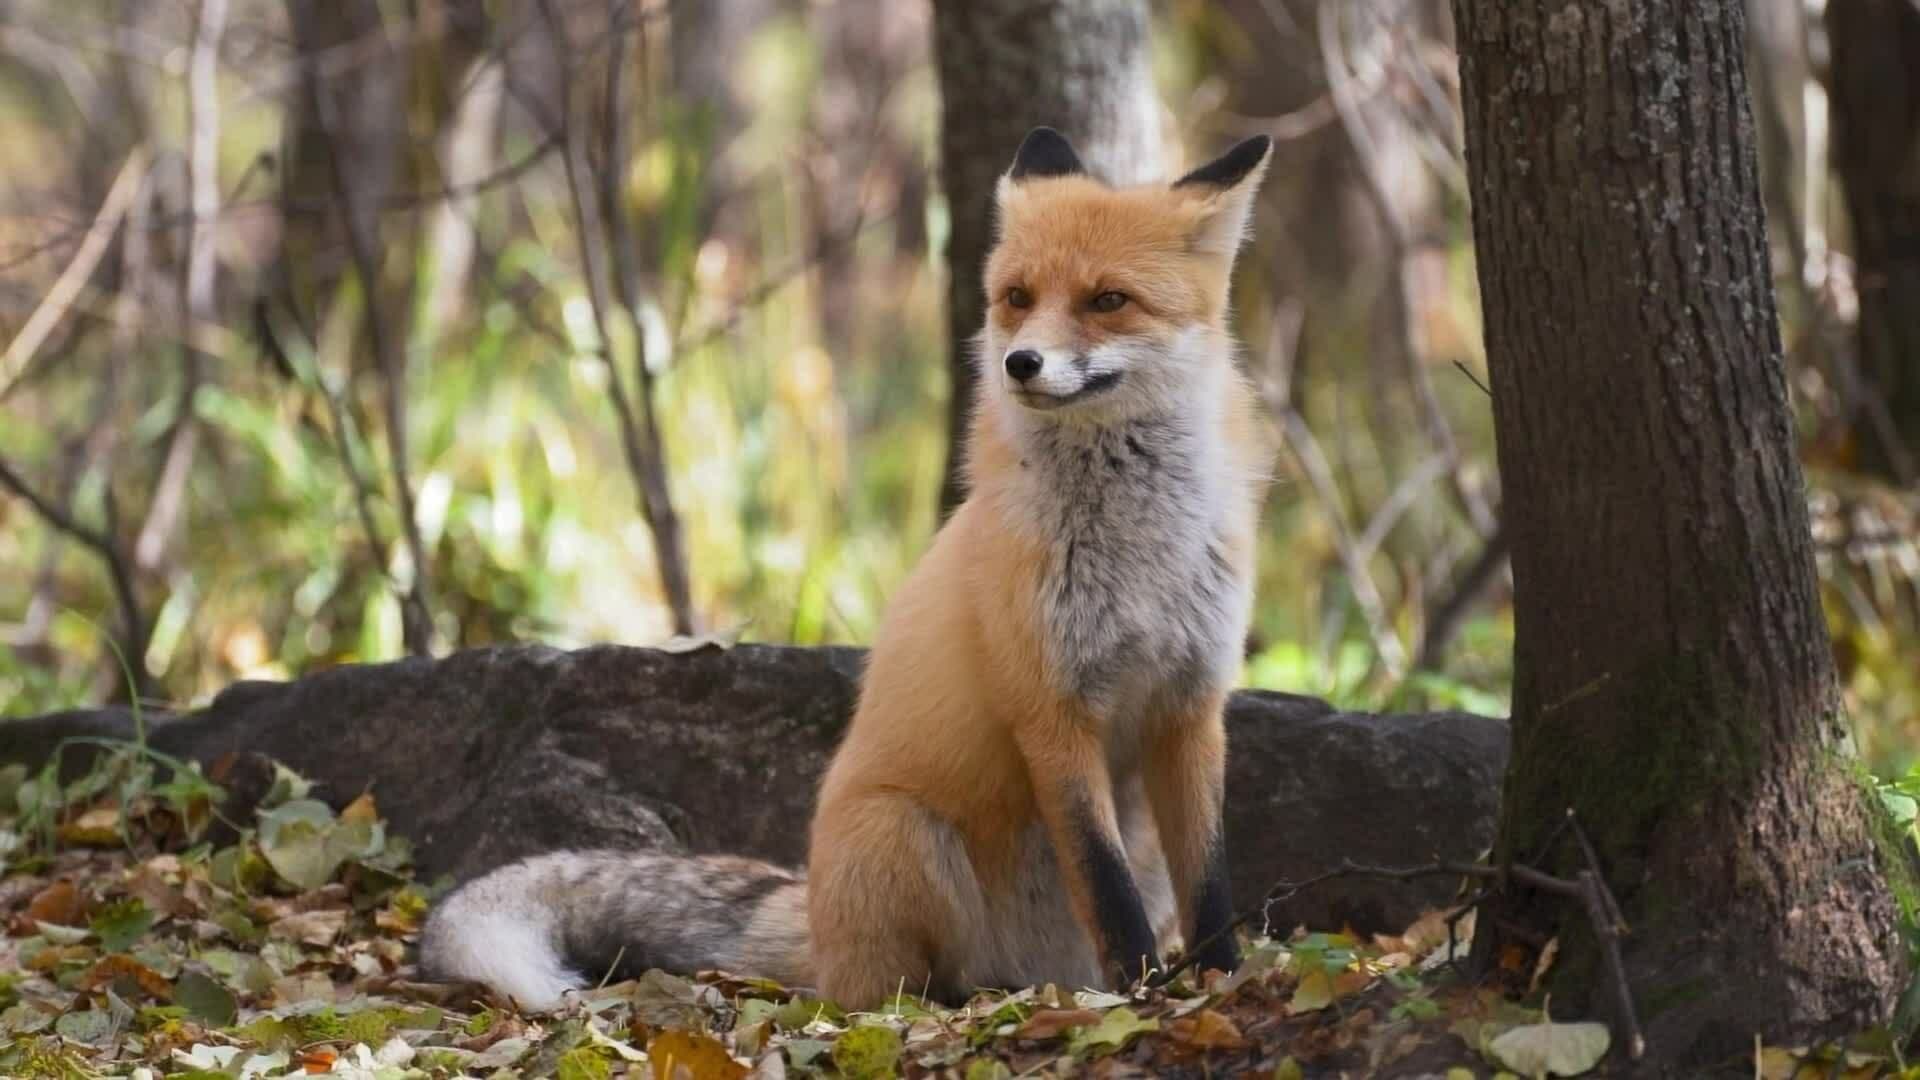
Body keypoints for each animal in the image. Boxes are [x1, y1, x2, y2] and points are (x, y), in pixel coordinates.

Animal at [419, 126, 1277, 1012]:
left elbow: (1211, 881)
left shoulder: (1191, 704)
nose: (1021, 362)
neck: (1138, 556)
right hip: (904, 836)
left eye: (1108, 300)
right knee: (897, 989)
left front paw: (1222, 980)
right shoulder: (1052, 710)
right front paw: (1142, 993)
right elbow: (1107, 888)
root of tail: (816, 919)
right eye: (1017, 296)